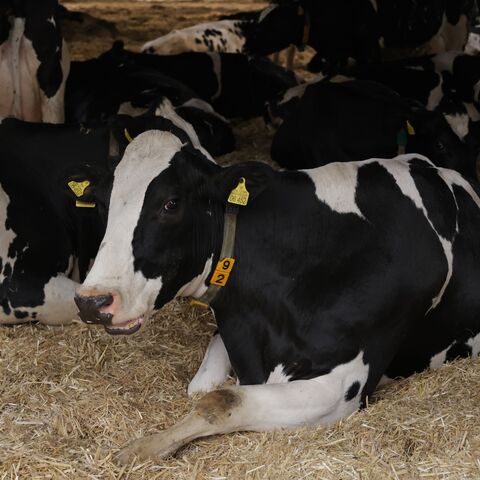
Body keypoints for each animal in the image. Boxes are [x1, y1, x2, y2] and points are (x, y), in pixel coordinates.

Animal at [72, 127, 480, 462]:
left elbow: (221, 399)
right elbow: (201, 388)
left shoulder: (344, 382)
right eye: (103, 203)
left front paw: (140, 448)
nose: (92, 301)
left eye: (171, 203)